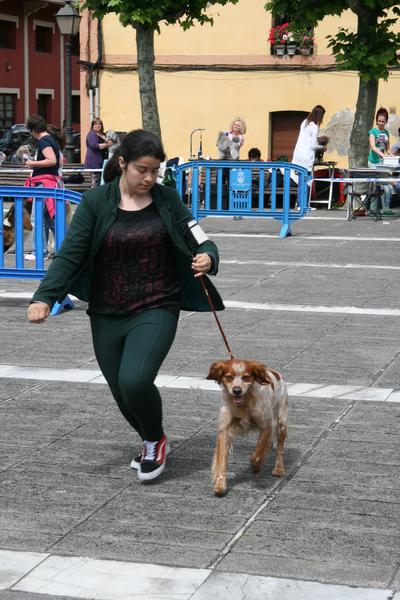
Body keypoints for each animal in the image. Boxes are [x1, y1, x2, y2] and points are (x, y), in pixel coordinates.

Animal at [207, 358, 288, 496]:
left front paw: (256, 467)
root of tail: (277, 374)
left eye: (246, 377)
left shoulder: (267, 425)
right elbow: (221, 460)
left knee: (280, 448)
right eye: (229, 377)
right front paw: (220, 485)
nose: (237, 390)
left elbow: (257, 453)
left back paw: (278, 468)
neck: (244, 403)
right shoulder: (225, 429)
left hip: (281, 421)